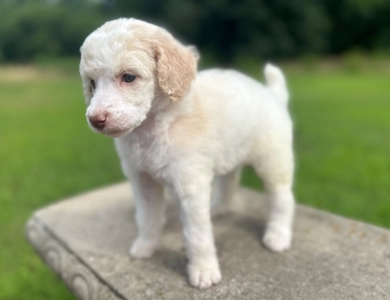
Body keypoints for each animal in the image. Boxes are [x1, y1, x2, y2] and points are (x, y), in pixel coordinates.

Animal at [80, 18, 296, 288]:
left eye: (128, 77)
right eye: (92, 83)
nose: (95, 119)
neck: (154, 125)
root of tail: (273, 94)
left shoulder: (190, 185)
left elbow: (197, 234)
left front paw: (203, 271)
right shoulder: (143, 181)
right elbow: (147, 217)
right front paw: (145, 247)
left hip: (273, 160)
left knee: (282, 198)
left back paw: (278, 235)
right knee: (230, 179)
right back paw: (220, 208)